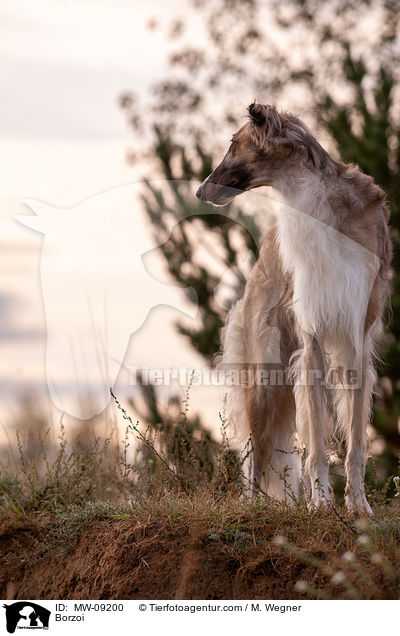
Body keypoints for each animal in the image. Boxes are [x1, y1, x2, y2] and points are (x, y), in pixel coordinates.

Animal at [197, 102, 390, 516]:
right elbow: (315, 442)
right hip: (264, 374)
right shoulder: (312, 339)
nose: (199, 190)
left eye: (233, 144)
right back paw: (252, 504)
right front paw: (320, 500)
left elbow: (355, 444)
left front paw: (358, 505)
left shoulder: (357, 339)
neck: (320, 205)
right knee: (254, 453)